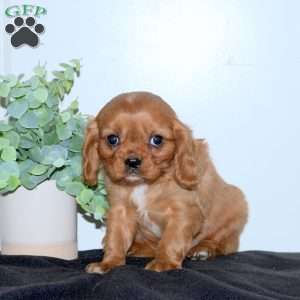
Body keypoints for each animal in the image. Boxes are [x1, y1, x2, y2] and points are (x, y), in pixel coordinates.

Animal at [81, 92, 246, 274]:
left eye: (157, 140)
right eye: (112, 139)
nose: (132, 161)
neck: (144, 184)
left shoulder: (183, 212)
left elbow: (172, 238)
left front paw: (164, 262)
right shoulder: (120, 210)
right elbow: (115, 238)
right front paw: (109, 263)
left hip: (236, 206)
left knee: (222, 243)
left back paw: (203, 249)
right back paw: (137, 248)